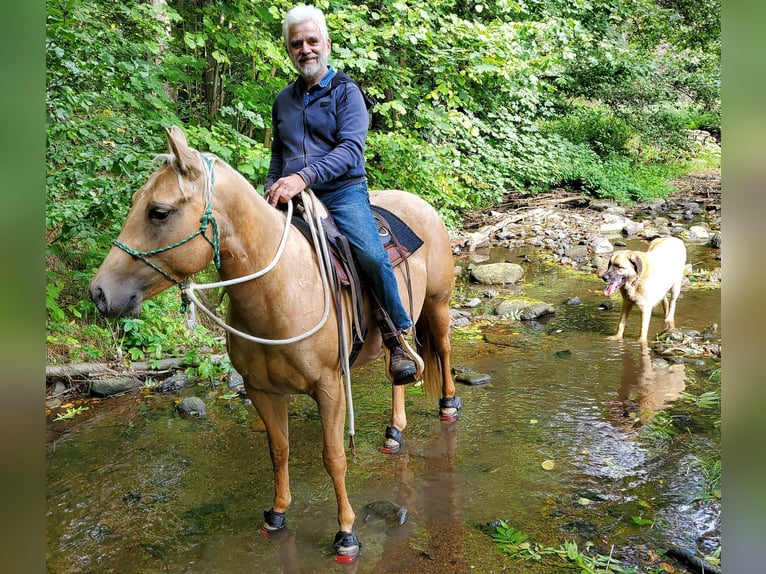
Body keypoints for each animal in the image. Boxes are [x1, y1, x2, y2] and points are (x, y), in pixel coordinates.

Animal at [90, 127, 462, 564]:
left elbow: (334, 458)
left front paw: (346, 533)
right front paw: (277, 514)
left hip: (437, 304)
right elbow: (279, 451)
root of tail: (419, 202)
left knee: (442, 350)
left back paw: (448, 406)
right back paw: (394, 431)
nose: (99, 293)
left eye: (159, 212)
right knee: (399, 368)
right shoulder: (261, 390)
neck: (279, 288)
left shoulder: (330, 388)